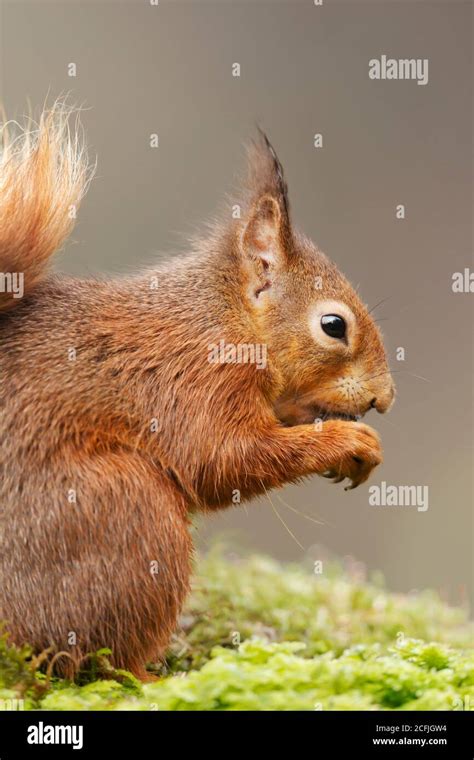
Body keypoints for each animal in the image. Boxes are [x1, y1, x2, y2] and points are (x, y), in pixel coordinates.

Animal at [0, 101, 392, 676]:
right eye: (333, 325)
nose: (385, 398)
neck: (227, 318)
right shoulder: (196, 380)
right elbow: (222, 459)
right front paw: (348, 441)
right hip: (120, 509)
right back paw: (146, 675)